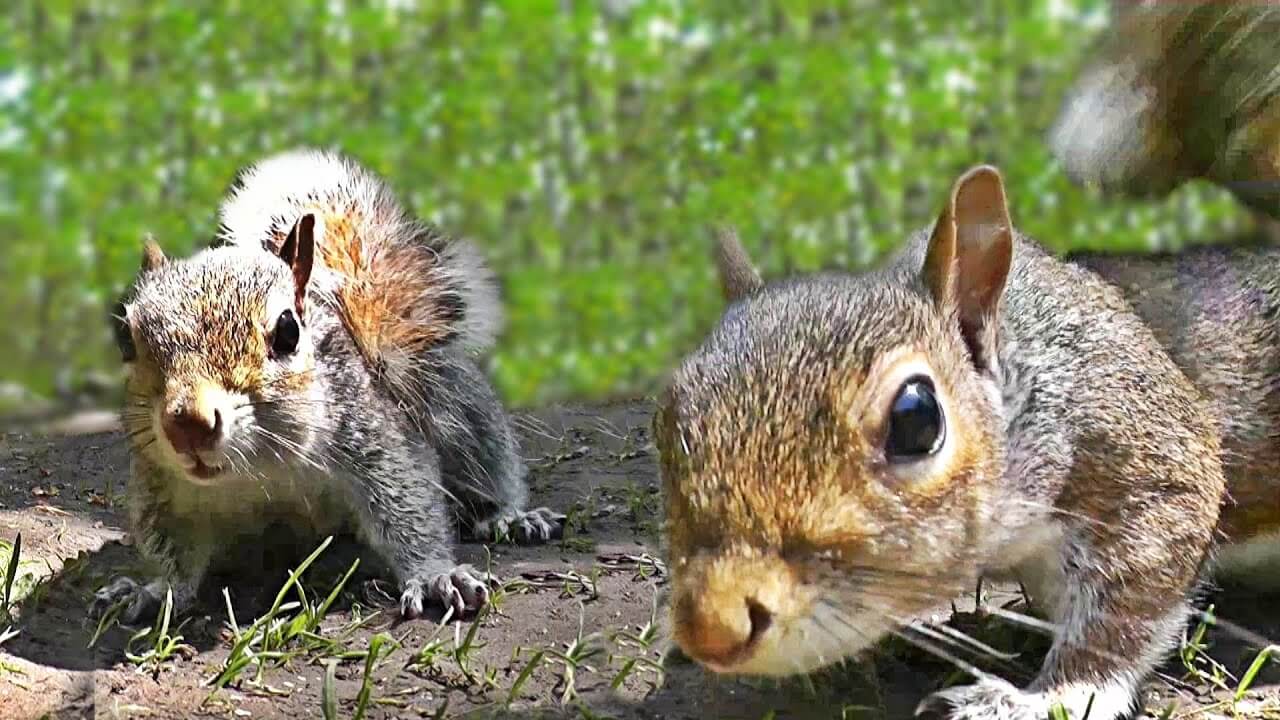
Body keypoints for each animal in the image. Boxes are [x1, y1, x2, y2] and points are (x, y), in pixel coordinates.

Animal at [94, 147, 565, 622]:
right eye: (123, 337)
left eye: (288, 331)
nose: (188, 425)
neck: (257, 472)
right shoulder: (163, 491)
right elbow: (170, 548)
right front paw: (154, 590)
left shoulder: (374, 442)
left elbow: (410, 507)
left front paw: (436, 575)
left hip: (459, 409)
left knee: (487, 469)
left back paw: (508, 517)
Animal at [655, 163, 1233, 717]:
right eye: (667, 413)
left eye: (917, 420)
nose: (711, 629)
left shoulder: (1144, 449)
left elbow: (1124, 612)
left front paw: (1045, 697)